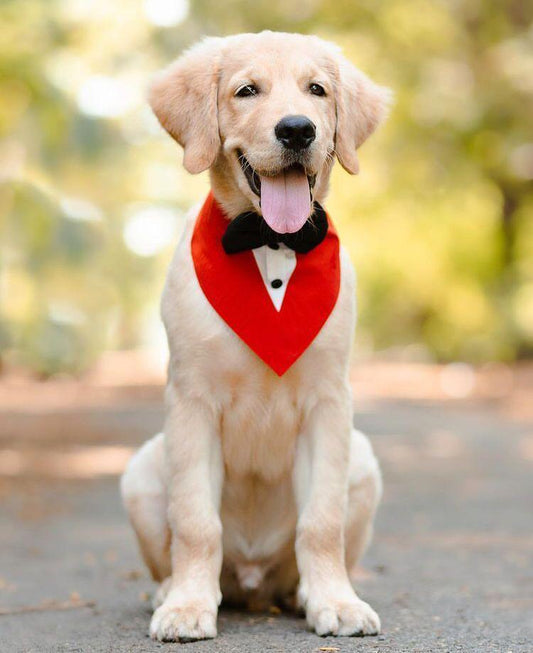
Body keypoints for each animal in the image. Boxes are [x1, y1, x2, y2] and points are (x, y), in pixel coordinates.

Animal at [120, 30, 388, 640]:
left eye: (317, 90)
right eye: (247, 91)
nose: (297, 130)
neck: (271, 241)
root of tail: (251, 579)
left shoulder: (329, 403)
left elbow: (322, 522)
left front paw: (336, 602)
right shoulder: (191, 402)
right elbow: (195, 521)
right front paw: (189, 606)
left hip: (363, 461)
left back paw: (303, 593)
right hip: (141, 471)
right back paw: (173, 591)